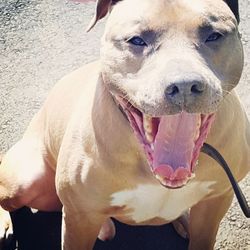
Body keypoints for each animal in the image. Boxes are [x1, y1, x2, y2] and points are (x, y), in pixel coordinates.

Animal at [0, 0, 250, 249]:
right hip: (25, 179)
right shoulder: (78, 218)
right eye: (136, 40)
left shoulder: (217, 200)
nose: (184, 86)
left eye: (214, 36)